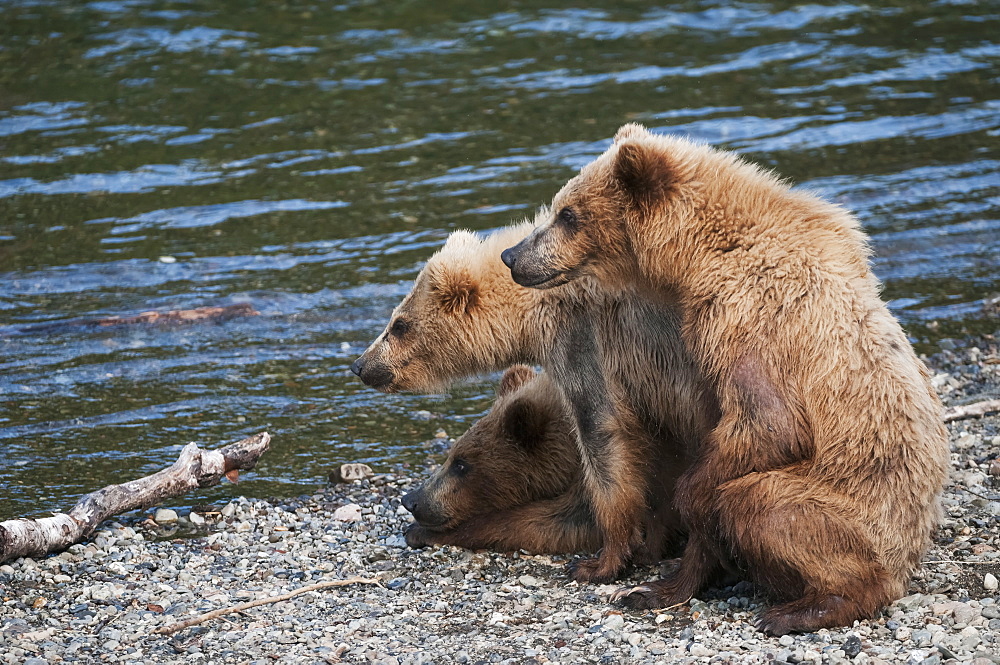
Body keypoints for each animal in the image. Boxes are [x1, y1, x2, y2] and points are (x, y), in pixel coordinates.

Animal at [504, 122, 948, 636]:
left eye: (568, 214)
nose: (511, 254)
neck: (697, 260)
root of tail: (911, 552)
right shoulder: (694, 349)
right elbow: (709, 425)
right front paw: (653, 585)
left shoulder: (747, 314)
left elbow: (769, 424)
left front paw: (678, 528)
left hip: (853, 509)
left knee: (759, 503)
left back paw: (802, 607)